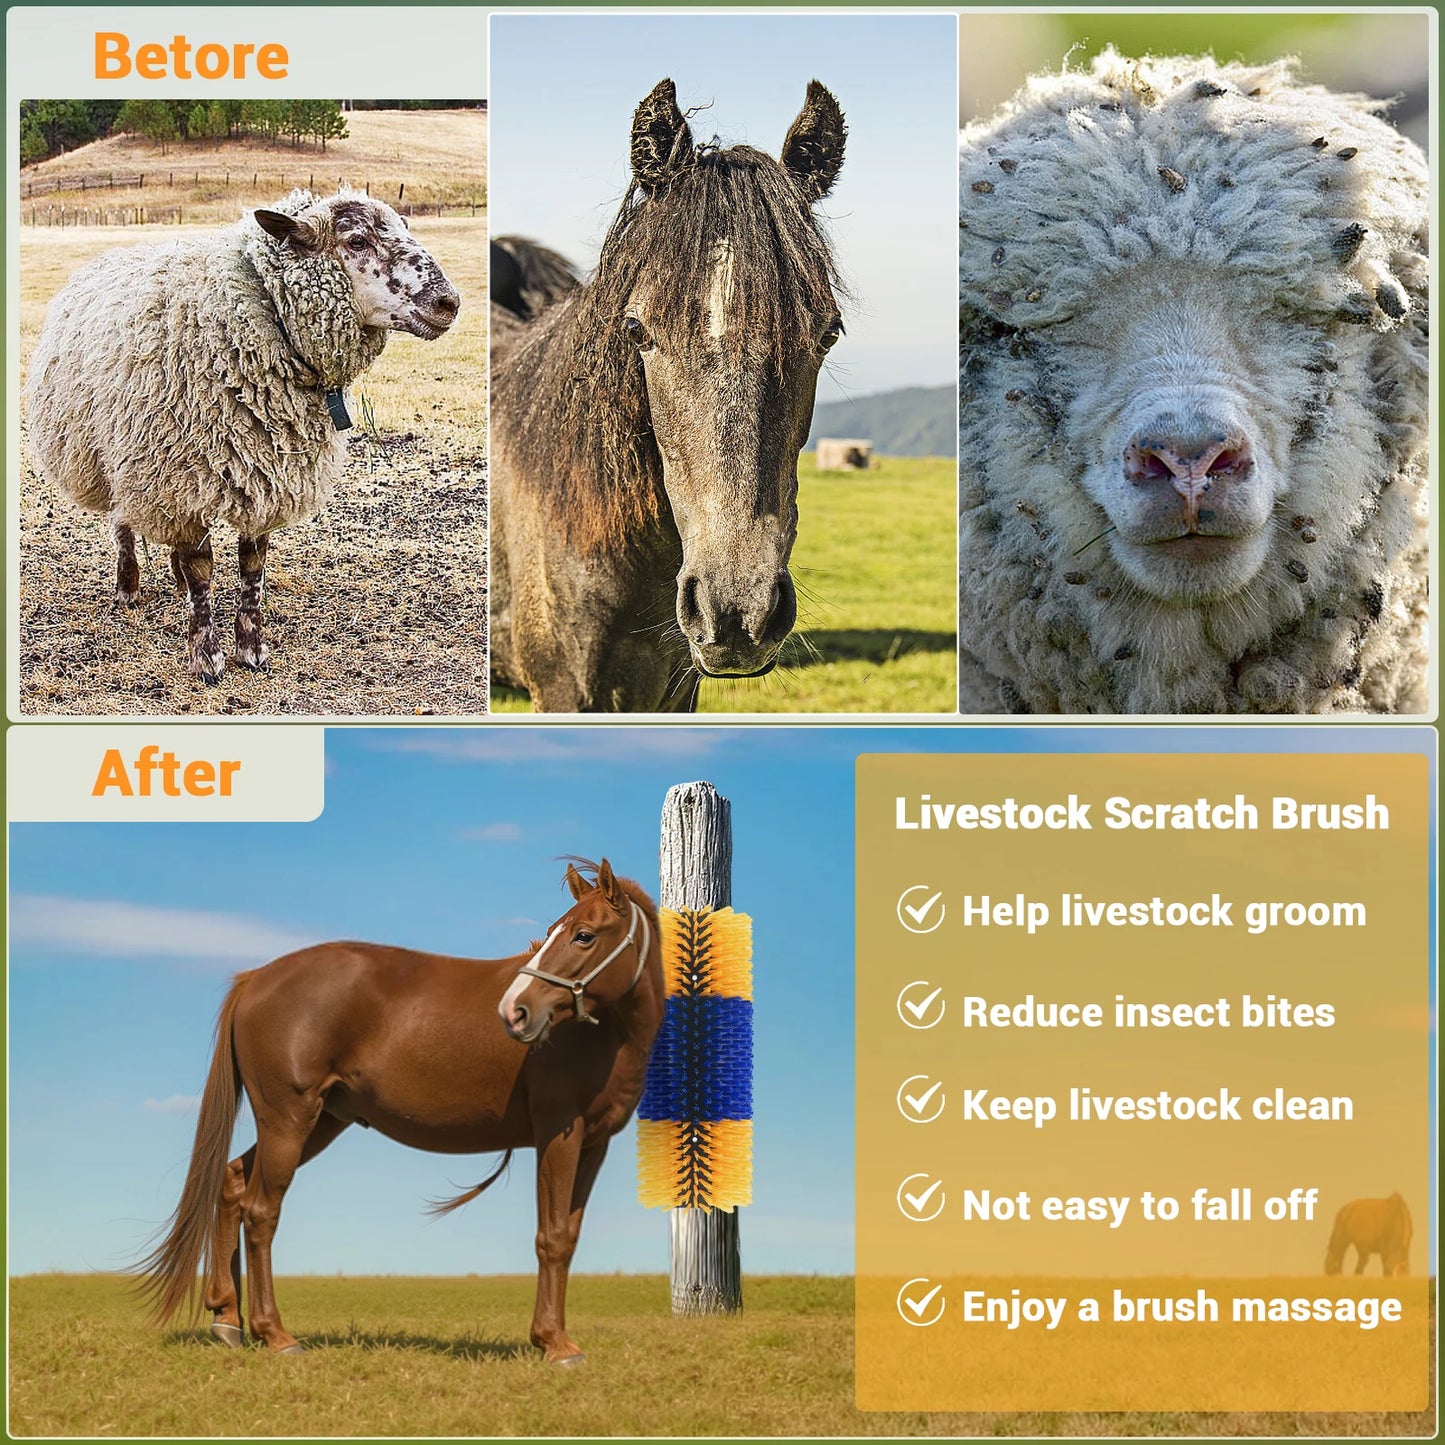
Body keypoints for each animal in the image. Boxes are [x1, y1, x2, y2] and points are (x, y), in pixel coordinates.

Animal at [24, 188, 461, 684]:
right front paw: (206, 655)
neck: (254, 323)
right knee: (122, 523)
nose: (449, 303)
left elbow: (253, 565)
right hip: (114, 456)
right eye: (356, 241)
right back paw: (128, 586)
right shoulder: (178, 476)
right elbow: (202, 570)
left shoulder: (264, 472)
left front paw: (252, 649)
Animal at [137, 859, 663, 1364]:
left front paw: (556, 1337)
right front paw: (554, 1343)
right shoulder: (558, 1133)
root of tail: (255, 980)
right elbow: (550, 1237)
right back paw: (276, 1335)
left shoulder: (593, 1142)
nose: (516, 1010)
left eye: (583, 934)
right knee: (261, 1212)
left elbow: (568, 1236)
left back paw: (228, 1317)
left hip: (316, 1122)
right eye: (555, 931)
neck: (604, 1033)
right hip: (288, 1119)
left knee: (232, 1181)